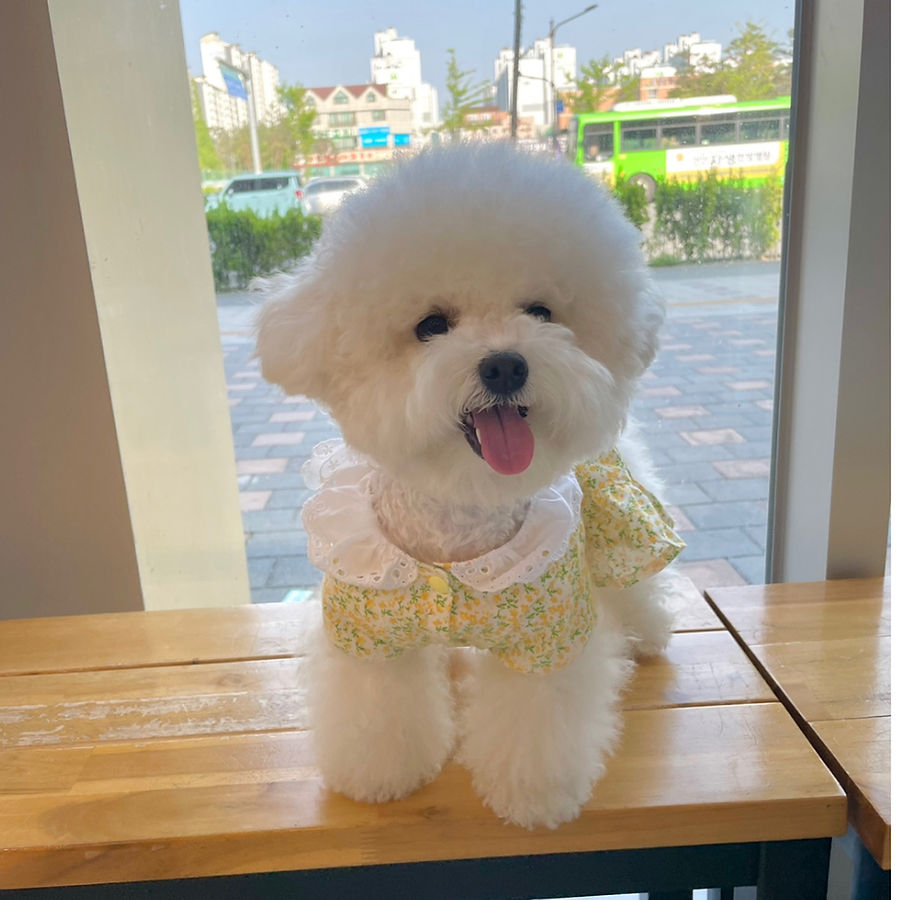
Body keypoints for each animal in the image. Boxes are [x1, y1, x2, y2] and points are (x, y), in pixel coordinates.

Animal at [256, 142, 684, 828]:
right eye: (432, 325)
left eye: (541, 312)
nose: (505, 364)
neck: (460, 515)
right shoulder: (368, 637)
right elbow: (377, 710)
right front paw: (380, 776)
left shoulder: (548, 640)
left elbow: (537, 723)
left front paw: (534, 797)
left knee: (639, 586)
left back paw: (649, 634)